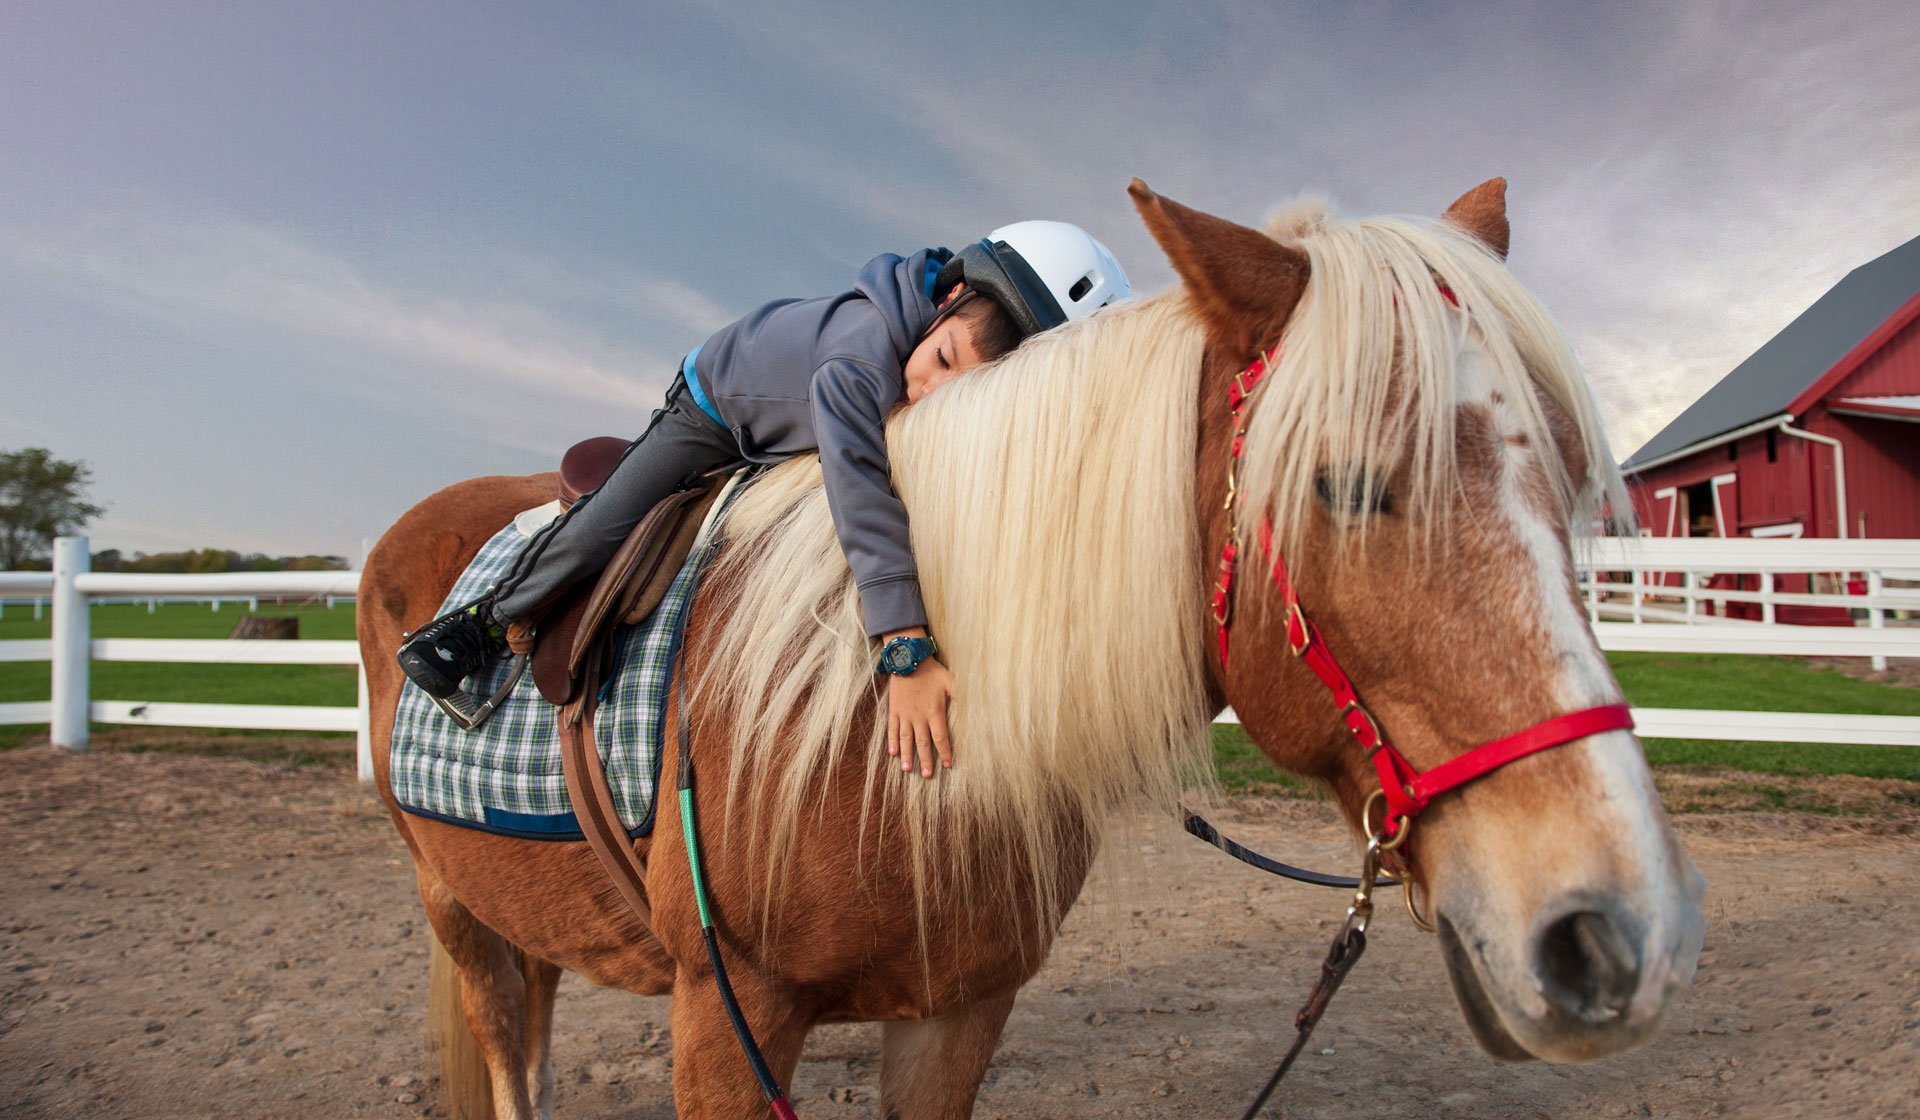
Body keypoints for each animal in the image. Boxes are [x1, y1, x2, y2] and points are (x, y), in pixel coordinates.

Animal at [356, 178, 1706, 1119]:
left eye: (1575, 481)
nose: (1620, 935)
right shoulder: (725, 1019)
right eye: (1347, 482)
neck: (869, 746)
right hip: (453, 910)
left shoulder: (956, 1014)